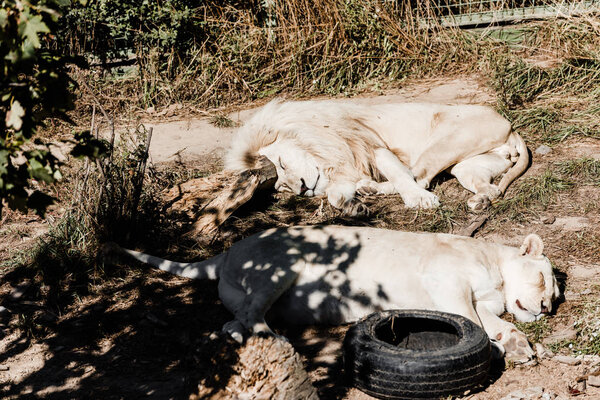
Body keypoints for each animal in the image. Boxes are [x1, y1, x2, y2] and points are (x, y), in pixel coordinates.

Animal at [111, 227, 556, 360]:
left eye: (553, 297)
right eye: (542, 281)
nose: (546, 309)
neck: (496, 272)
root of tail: (227, 252)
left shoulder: (482, 301)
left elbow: (490, 321)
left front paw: (516, 343)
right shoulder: (446, 283)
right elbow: (472, 320)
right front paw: (498, 347)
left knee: (234, 321)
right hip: (281, 265)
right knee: (253, 316)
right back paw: (280, 341)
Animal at [226, 99, 528, 214]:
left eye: (283, 163)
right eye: (281, 187)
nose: (302, 189)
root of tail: (510, 127)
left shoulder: (375, 149)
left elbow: (402, 177)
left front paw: (419, 201)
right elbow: (334, 195)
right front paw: (351, 206)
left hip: (445, 141)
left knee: (420, 177)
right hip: (467, 167)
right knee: (489, 187)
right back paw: (480, 200)